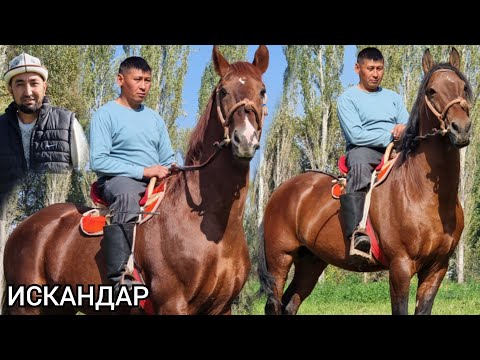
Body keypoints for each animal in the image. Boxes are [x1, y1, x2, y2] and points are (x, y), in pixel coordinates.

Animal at [1, 44, 268, 316]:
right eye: (224, 91)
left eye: (262, 91)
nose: (244, 140)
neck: (214, 230)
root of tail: (23, 228)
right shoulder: (172, 304)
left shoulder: (222, 307)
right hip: (27, 306)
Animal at [258, 47, 472, 316]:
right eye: (431, 90)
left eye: (463, 87)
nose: (461, 128)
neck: (421, 194)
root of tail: (281, 192)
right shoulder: (400, 266)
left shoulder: (437, 268)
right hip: (280, 260)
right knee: (275, 304)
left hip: (311, 263)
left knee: (290, 304)